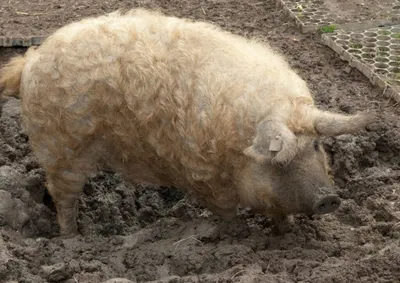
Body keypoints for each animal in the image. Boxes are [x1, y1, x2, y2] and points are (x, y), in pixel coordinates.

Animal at [0, 8, 376, 237]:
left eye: (315, 145)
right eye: (279, 160)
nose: (329, 199)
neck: (233, 145)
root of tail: (30, 61)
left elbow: (279, 211)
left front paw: (285, 232)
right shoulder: (203, 174)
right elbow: (227, 212)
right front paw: (235, 236)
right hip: (60, 149)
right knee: (62, 197)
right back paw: (73, 239)